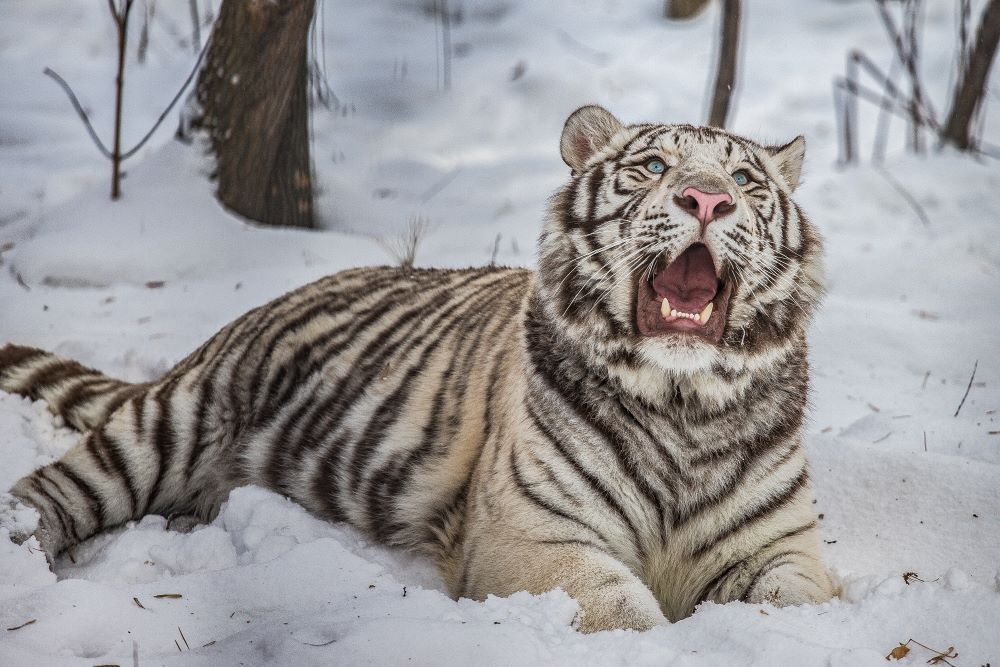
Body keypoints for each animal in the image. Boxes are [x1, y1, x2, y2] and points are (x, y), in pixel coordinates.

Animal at [0, 105, 833, 632]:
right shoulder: (532, 537)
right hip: (166, 424)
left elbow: (797, 604)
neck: (683, 399)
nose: (707, 200)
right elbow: (625, 611)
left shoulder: (781, 547)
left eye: (746, 182)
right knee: (50, 493)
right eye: (655, 166)